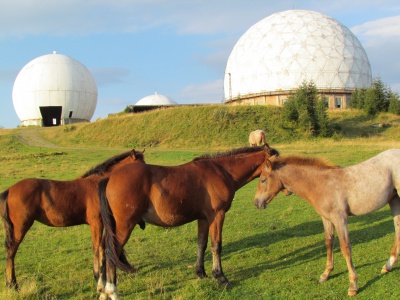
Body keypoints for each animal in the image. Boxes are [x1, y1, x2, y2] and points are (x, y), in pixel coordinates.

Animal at [0, 149, 145, 290]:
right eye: (140, 164)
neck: (97, 185)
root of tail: (9, 190)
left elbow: (103, 247)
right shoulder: (96, 223)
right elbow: (97, 247)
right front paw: (98, 276)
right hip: (21, 226)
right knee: (11, 250)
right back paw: (12, 284)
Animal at [97, 144, 278, 298]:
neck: (222, 171)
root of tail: (109, 178)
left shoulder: (203, 218)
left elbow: (201, 243)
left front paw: (201, 273)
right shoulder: (217, 216)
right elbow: (216, 245)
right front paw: (220, 277)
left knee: (104, 250)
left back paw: (103, 289)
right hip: (124, 226)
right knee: (112, 251)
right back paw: (112, 291)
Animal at [255, 151, 400, 296]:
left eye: (263, 180)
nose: (256, 203)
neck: (321, 184)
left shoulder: (340, 219)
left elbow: (345, 248)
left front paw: (353, 285)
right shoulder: (327, 219)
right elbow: (329, 242)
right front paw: (326, 274)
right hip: (394, 200)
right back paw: (388, 266)